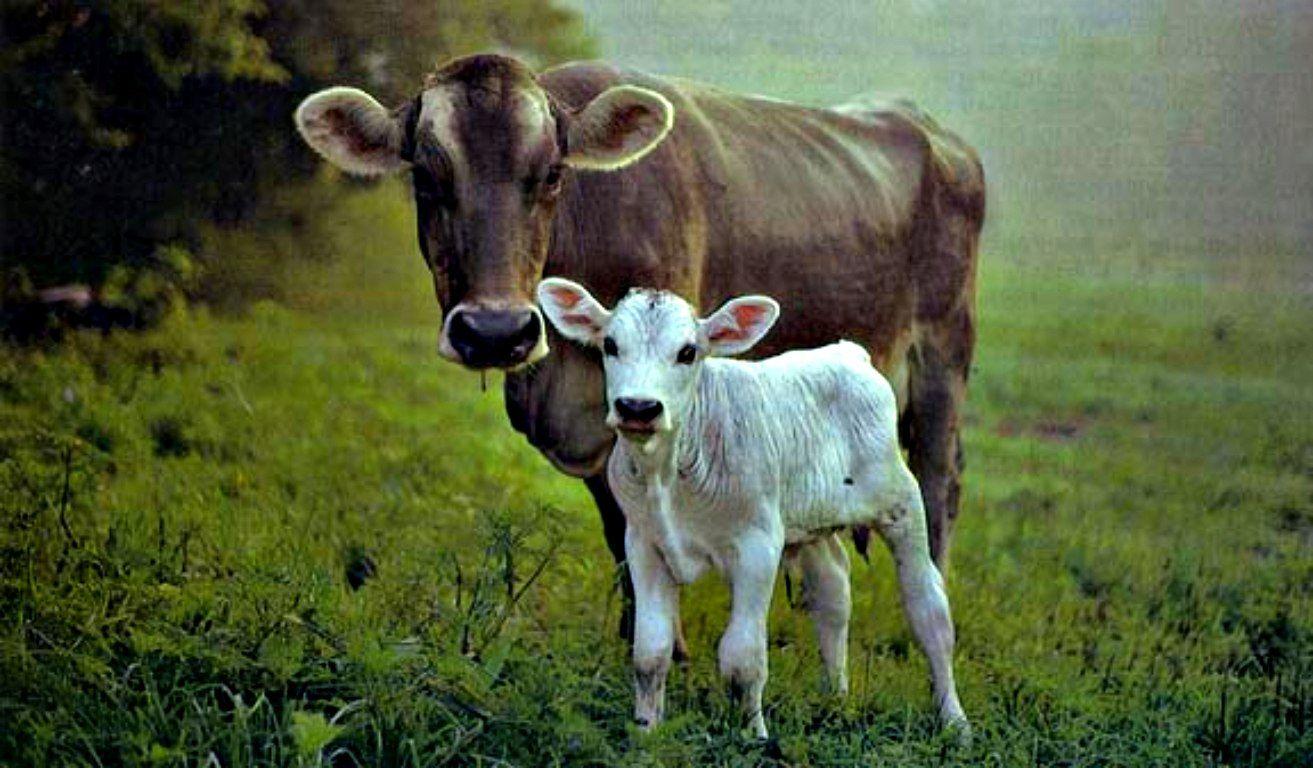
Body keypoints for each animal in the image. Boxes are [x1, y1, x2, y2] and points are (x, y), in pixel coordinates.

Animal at [293, 54, 985, 648]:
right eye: (425, 175)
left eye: (553, 173)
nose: (495, 331)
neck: (562, 373)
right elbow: (621, 529)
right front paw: (642, 633)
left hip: (942, 354)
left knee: (939, 479)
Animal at [536, 277, 968, 738]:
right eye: (611, 344)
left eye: (687, 352)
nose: (638, 407)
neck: (667, 471)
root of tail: (848, 352)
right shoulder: (643, 543)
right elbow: (650, 651)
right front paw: (646, 730)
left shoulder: (757, 545)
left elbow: (742, 657)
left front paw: (753, 737)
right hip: (807, 521)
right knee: (833, 594)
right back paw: (835, 698)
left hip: (901, 502)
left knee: (929, 609)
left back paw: (955, 721)